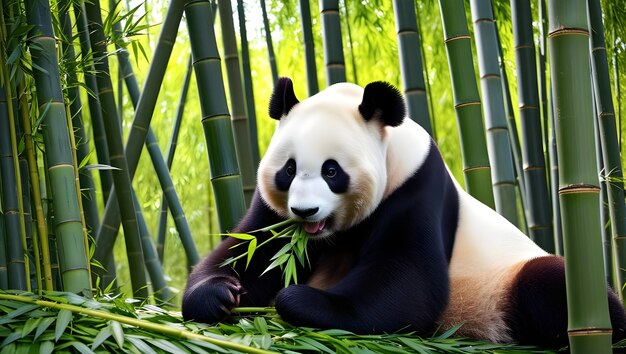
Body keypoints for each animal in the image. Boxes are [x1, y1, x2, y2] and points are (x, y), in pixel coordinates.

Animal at [182, 76, 624, 348]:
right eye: (288, 169)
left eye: (331, 170)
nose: (305, 211)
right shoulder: (274, 211)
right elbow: (255, 249)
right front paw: (220, 293)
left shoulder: (416, 189)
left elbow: (405, 280)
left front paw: (299, 300)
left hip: (504, 282)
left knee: (553, 284)